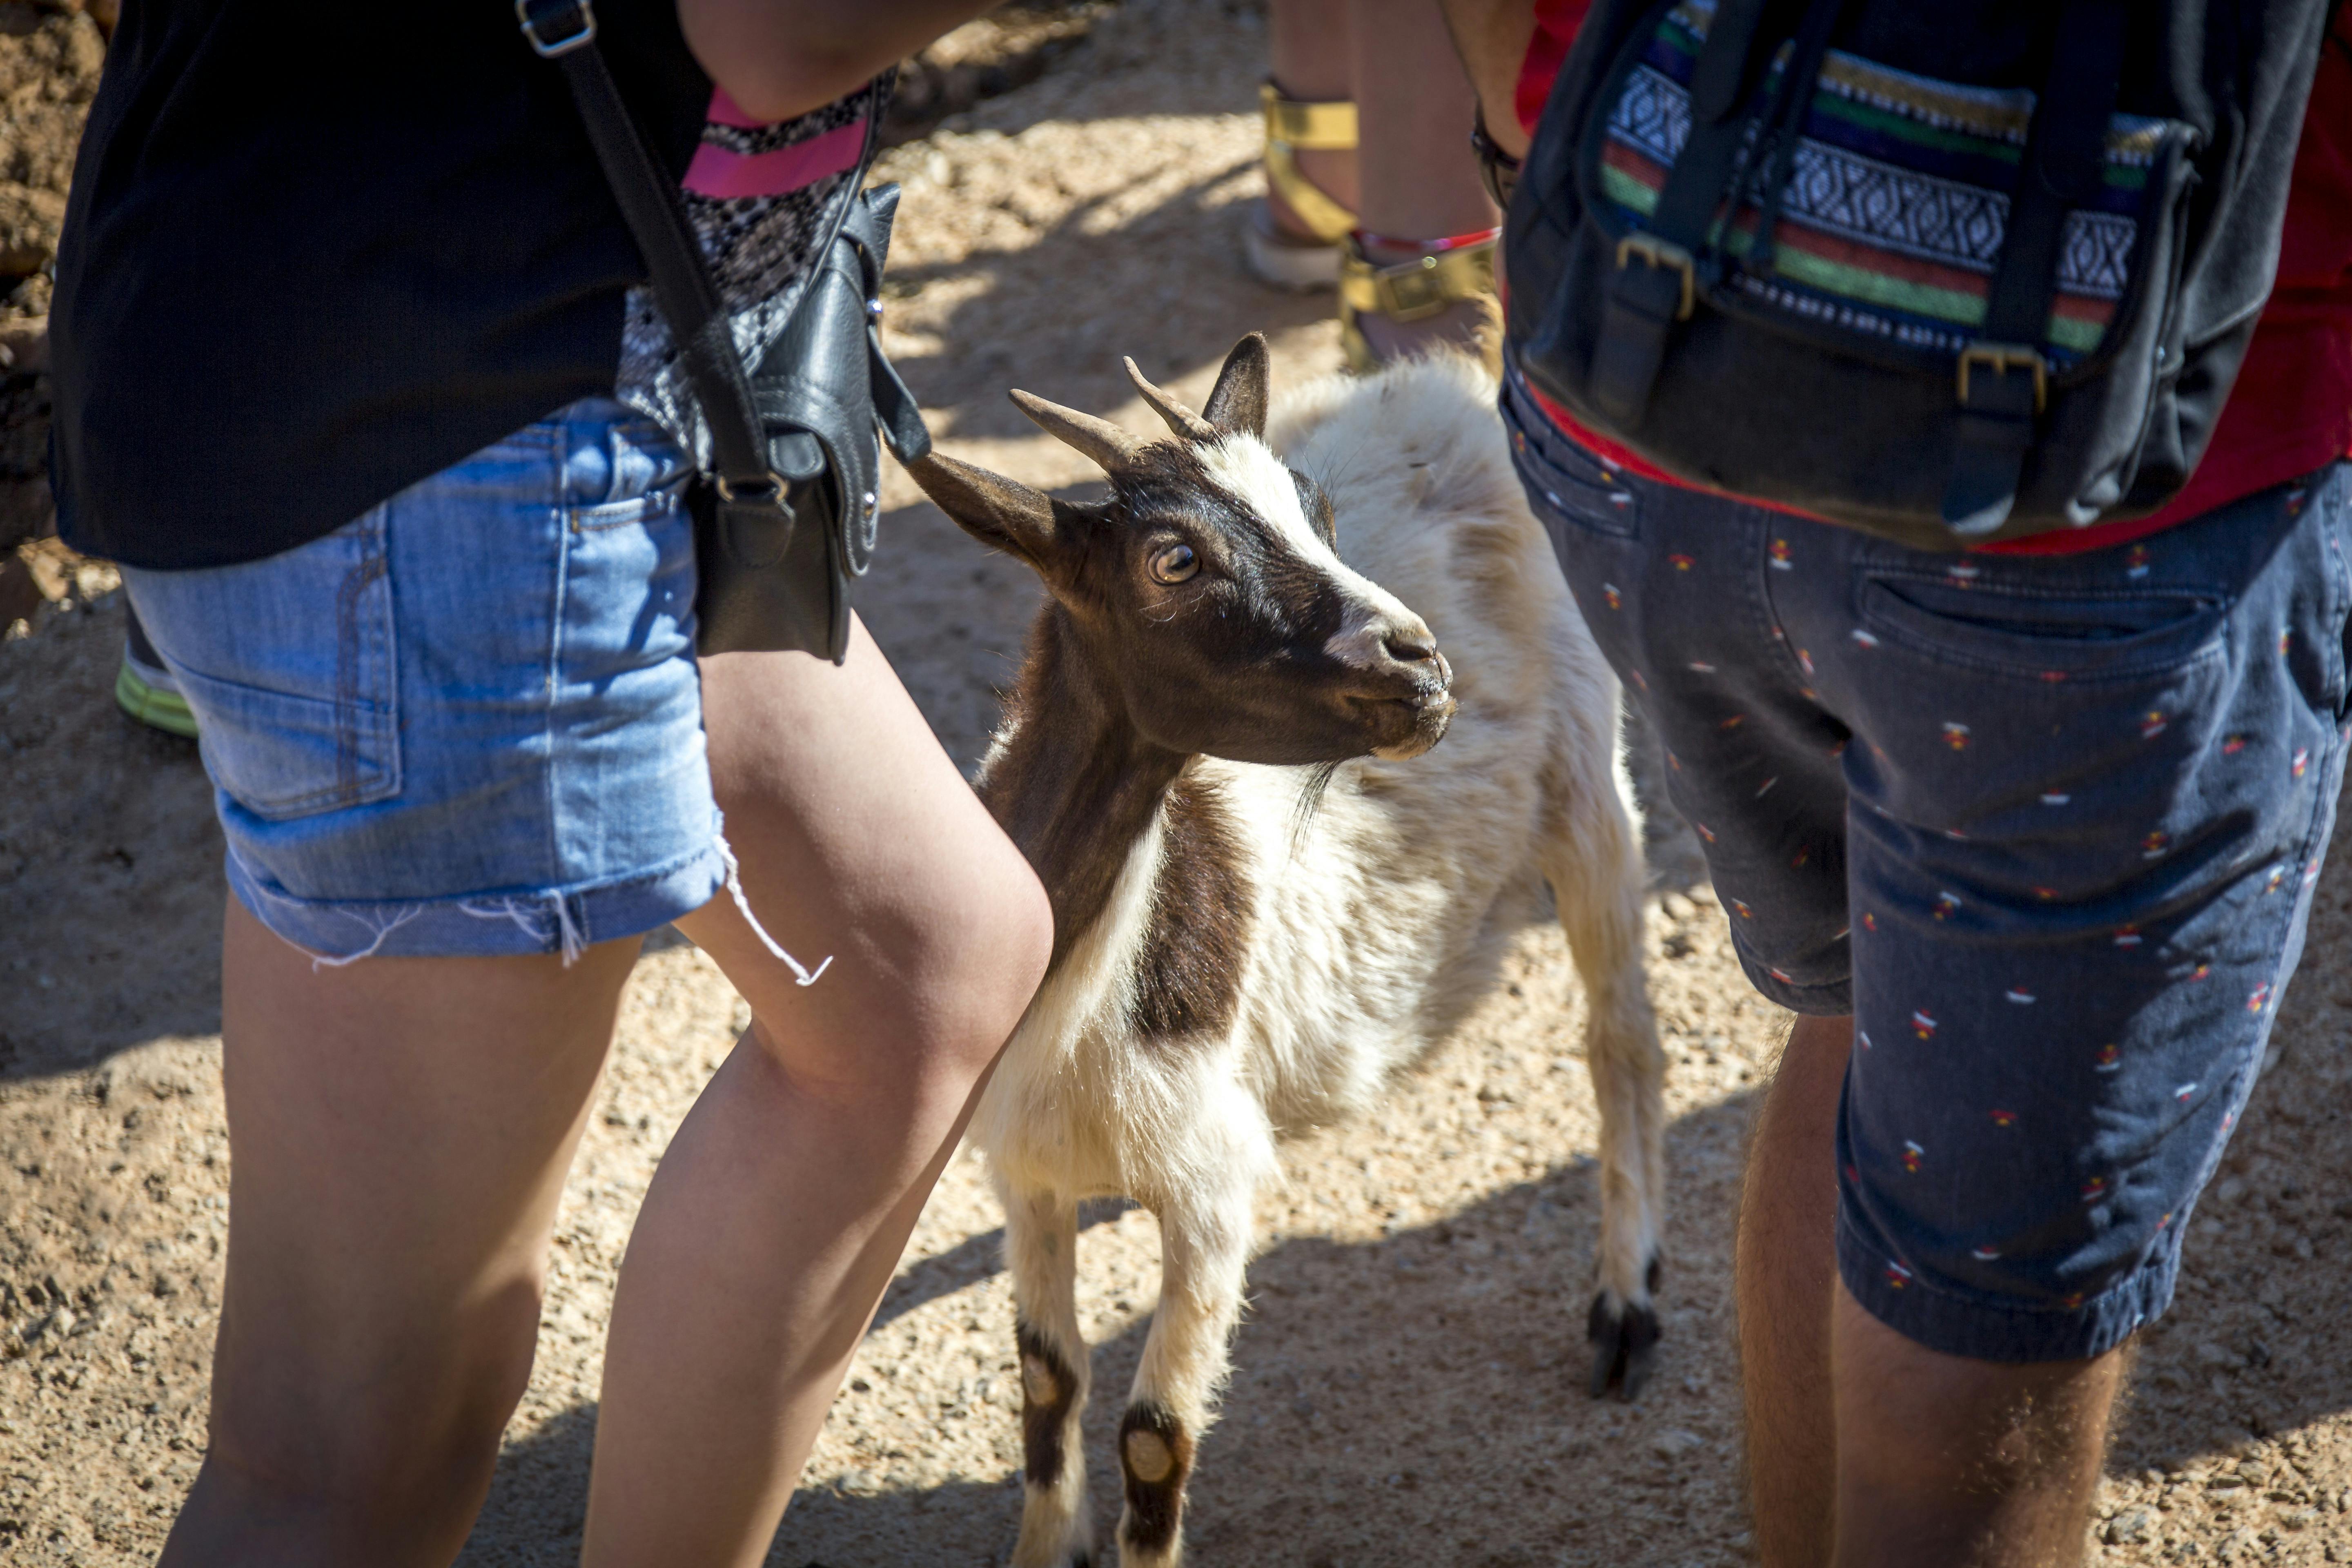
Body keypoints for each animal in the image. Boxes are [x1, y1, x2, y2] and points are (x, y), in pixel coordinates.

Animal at [893, 334, 1656, 1568]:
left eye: (1316, 511)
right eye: (1173, 559)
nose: (1419, 665)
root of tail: (1442, 381)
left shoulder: (1214, 1190)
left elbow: (1153, 1439)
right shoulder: (1025, 1166)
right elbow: (1046, 1381)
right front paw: (1046, 1542)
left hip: (1593, 768)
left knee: (1620, 1037)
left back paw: (1626, 1304)